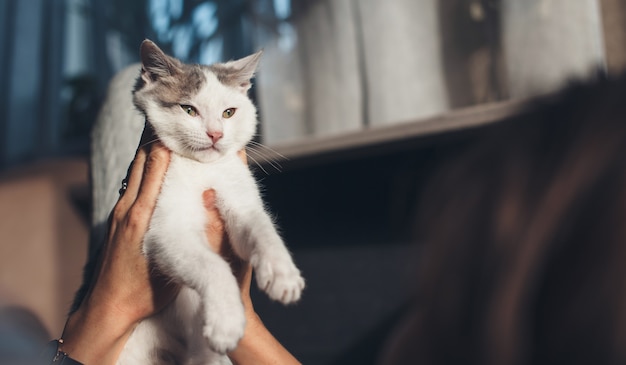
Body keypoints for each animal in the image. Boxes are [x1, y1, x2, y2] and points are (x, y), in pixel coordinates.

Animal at [94, 39, 304, 364]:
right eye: (189, 109)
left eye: (229, 112)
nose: (215, 134)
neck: (202, 169)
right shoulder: (165, 231)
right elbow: (213, 265)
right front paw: (227, 320)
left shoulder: (240, 197)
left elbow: (260, 227)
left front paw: (282, 272)